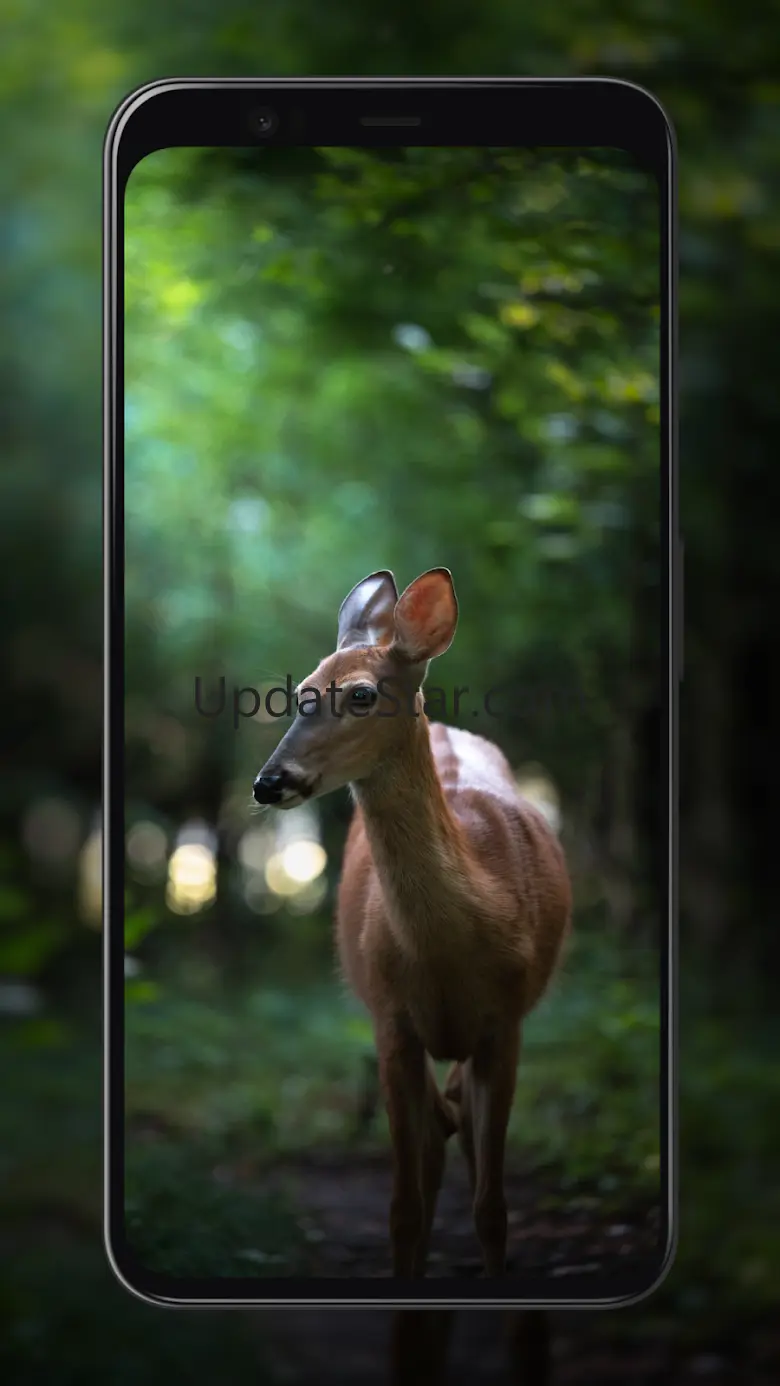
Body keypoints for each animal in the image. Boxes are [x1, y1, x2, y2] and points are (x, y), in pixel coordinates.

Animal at [252, 568, 572, 1279]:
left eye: (361, 694)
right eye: (300, 693)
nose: (269, 781)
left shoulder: (505, 1021)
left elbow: (492, 1206)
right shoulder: (391, 1017)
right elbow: (403, 1205)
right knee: (432, 1144)